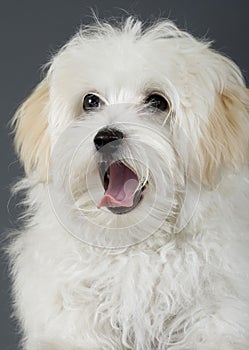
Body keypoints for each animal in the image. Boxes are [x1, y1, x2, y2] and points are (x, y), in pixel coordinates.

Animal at [9, 17, 249, 350]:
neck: (133, 246)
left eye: (158, 102)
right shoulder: (72, 319)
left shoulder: (217, 316)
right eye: (91, 101)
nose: (105, 137)